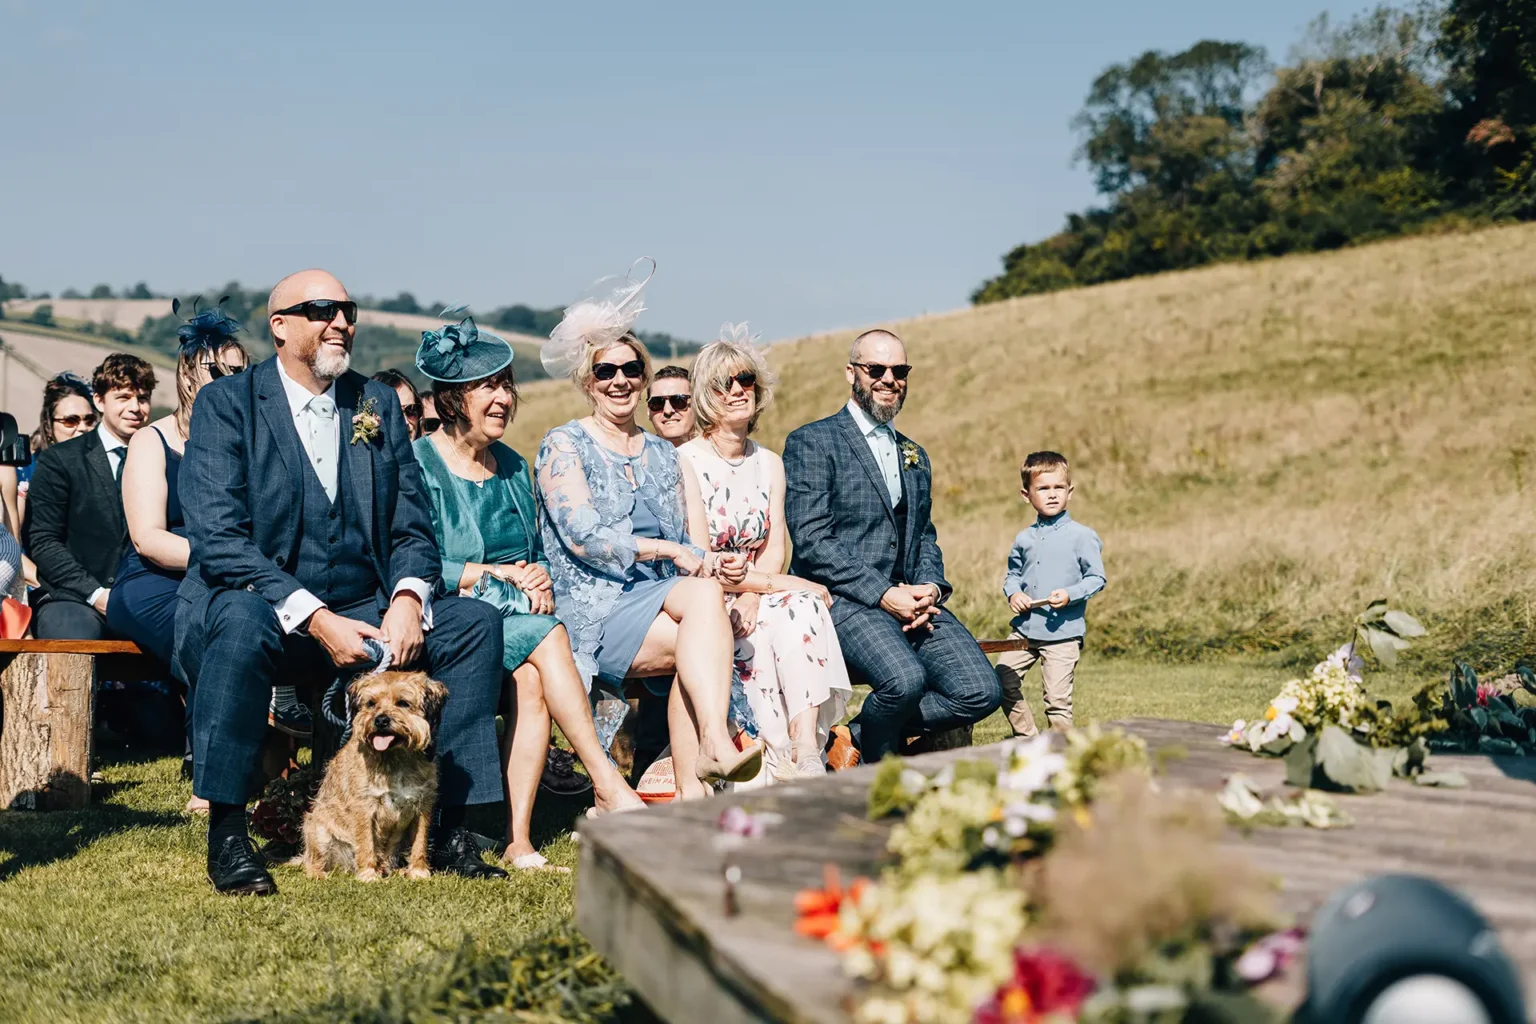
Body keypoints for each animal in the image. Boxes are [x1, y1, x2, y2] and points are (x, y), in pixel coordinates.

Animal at [297, 672, 445, 884]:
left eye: (403, 703)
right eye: (371, 703)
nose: (381, 720)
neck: (394, 757)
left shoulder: (423, 805)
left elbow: (420, 843)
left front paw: (418, 872)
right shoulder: (364, 807)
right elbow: (366, 843)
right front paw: (368, 875)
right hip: (318, 829)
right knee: (312, 861)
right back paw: (320, 874)